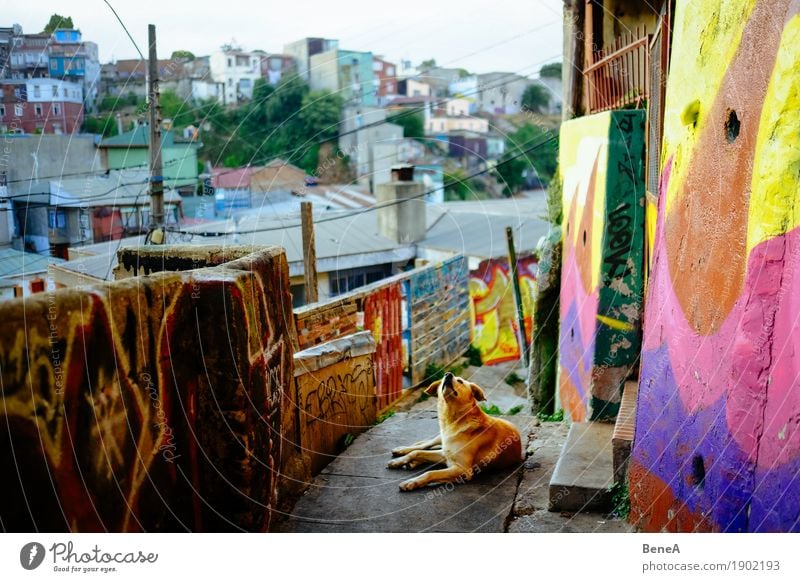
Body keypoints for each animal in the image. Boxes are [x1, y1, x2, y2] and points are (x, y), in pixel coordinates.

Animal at [390, 374, 524, 492]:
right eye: (444, 377)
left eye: (460, 381)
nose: (448, 374)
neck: (455, 420)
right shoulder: (446, 454)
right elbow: (417, 452)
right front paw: (399, 461)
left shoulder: (462, 469)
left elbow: (431, 472)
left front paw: (411, 482)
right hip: (440, 438)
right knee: (425, 445)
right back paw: (402, 450)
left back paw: (412, 463)